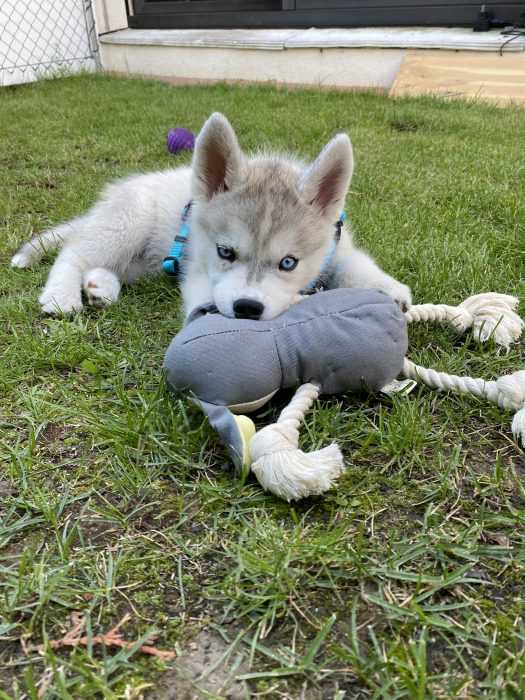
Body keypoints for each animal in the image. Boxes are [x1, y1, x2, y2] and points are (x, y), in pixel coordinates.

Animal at [9, 113, 410, 320]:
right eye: (225, 252)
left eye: (289, 263)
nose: (247, 308)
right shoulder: (198, 269)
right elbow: (203, 295)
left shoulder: (337, 244)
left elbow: (356, 263)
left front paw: (390, 289)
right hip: (127, 224)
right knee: (74, 252)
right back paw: (62, 294)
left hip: (142, 257)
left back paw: (100, 286)